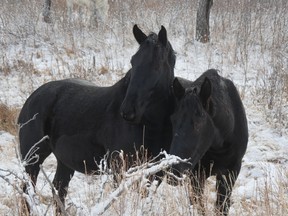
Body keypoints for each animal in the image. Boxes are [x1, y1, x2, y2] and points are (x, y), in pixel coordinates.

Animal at [18, 24, 176, 211]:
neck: (149, 126)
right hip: (32, 159)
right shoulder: (120, 170)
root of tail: (32, 97)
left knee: (58, 191)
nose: (128, 111)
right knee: (27, 192)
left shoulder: (155, 172)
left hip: (64, 162)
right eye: (133, 61)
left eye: (157, 65)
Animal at [170, 69, 249, 214]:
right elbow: (199, 205)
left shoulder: (230, 172)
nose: (174, 171)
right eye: (172, 120)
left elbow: (222, 206)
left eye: (198, 124)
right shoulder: (197, 174)